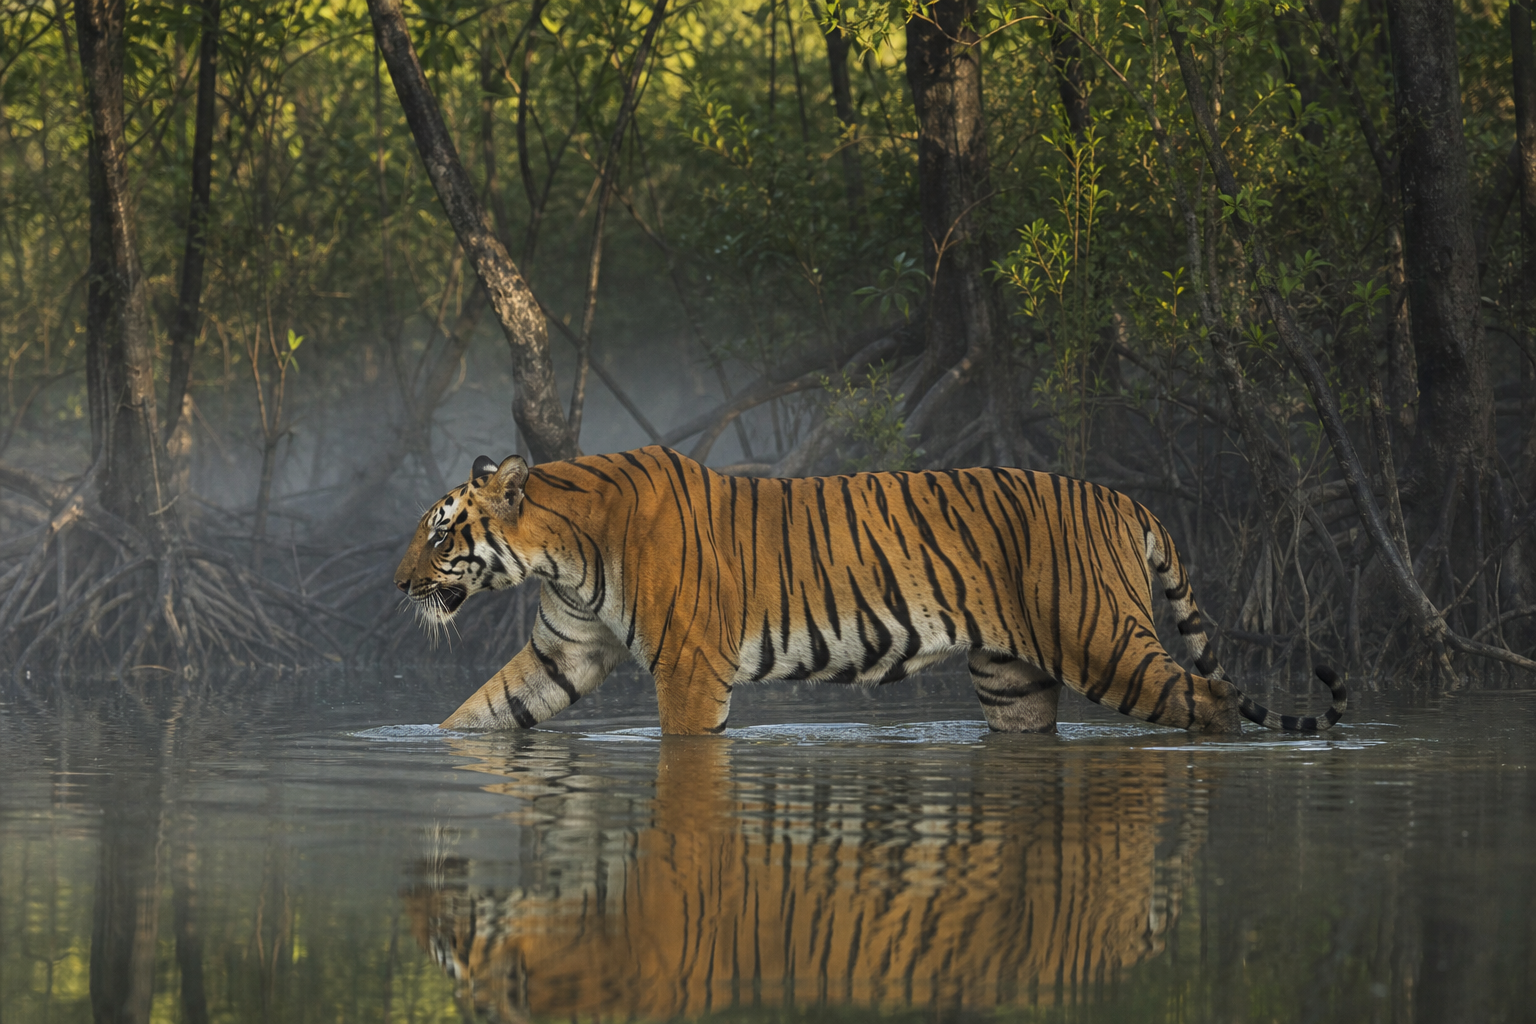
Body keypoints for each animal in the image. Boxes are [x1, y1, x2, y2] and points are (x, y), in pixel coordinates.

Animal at [393, 444, 1346, 735]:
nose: (399, 584)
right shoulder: (568, 651)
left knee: (1211, 697)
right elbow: (482, 711)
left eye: (440, 532)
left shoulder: (689, 669)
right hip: (1014, 679)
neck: (560, 553)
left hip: (1103, 641)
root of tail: (1123, 497)